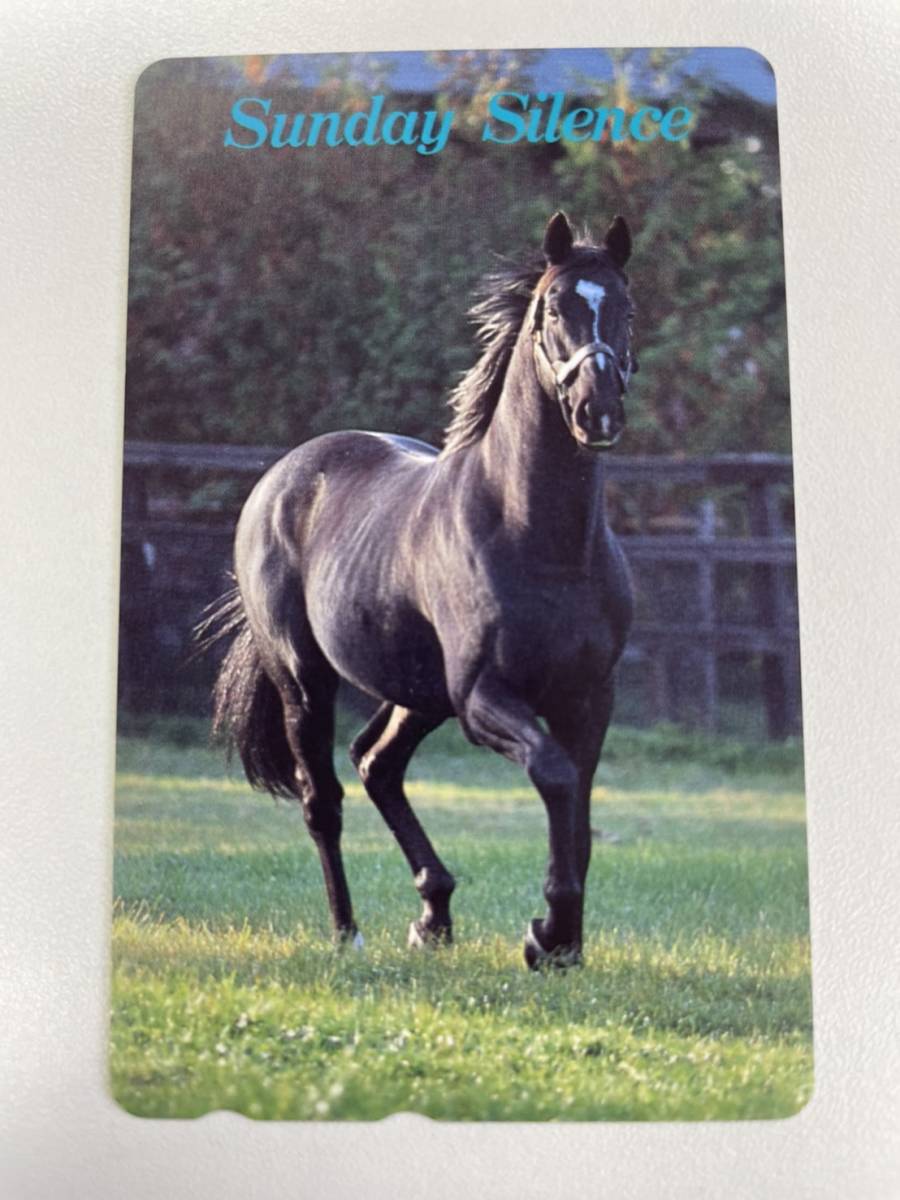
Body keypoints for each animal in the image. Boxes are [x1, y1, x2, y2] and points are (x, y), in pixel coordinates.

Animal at [201, 211, 637, 968]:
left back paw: (433, 914)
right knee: (324, 798)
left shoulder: (590, 697)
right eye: (555, 309)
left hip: (417, 694)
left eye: (627, 309)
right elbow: (554, 775)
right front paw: (545, 934)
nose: (598, 410)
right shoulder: (483, 696)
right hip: (306, 682)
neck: (540, 540)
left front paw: (564, 946)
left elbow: (578, 808)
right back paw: (348, 932)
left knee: (377, 764)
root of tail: (279, 479)